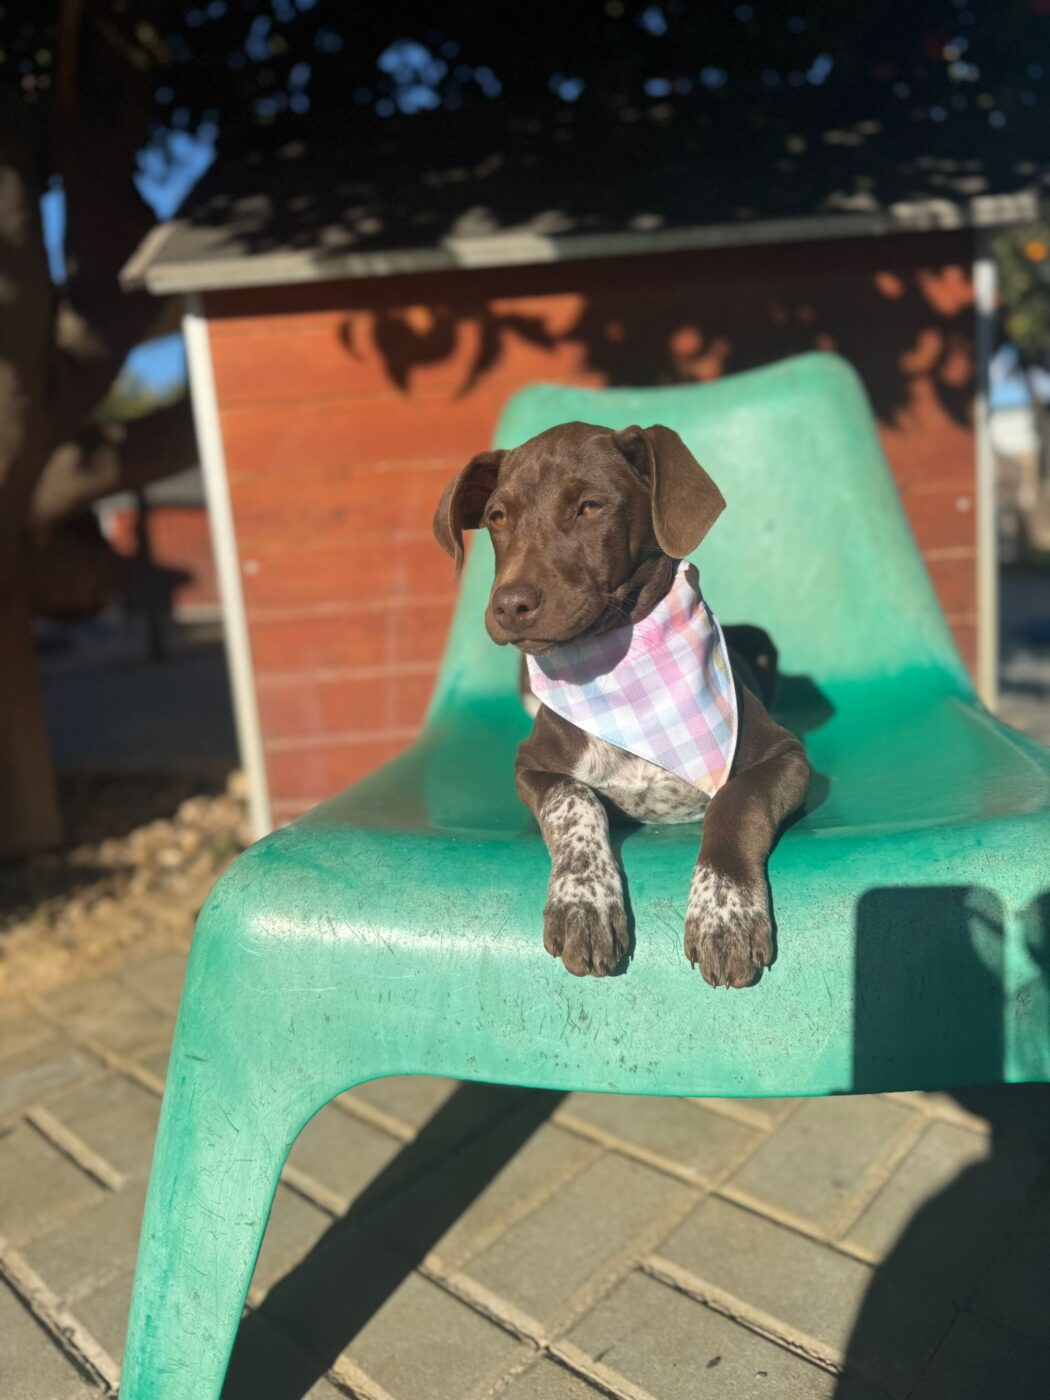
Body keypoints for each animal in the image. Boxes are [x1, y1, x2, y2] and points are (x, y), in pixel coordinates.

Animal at [433, 421, 810, 988]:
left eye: (590, 506)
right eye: (497, 517)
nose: (509, 605)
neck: (621, 674)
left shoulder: (787, 756)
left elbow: (735, 799)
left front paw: (725, 913)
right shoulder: (531, 765)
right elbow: (573, 797)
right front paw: (582, 901)